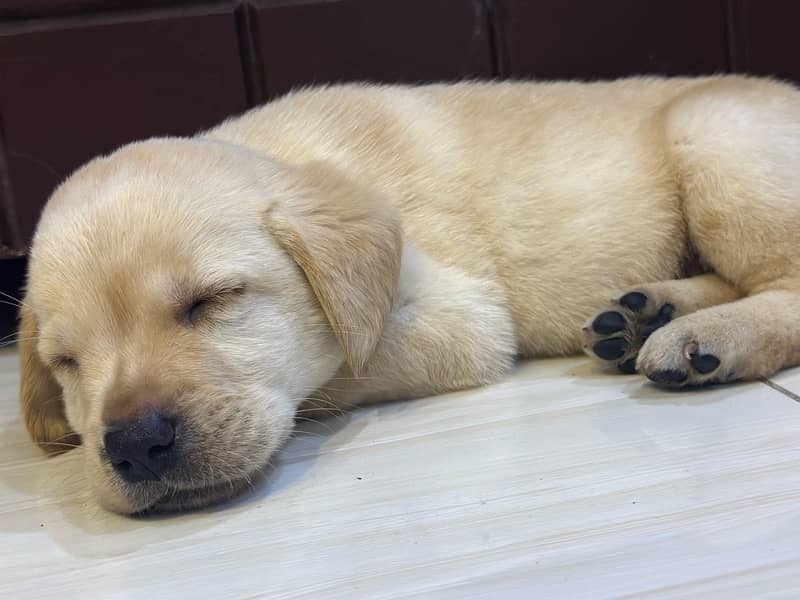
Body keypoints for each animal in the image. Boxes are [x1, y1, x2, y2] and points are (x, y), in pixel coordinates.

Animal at [18, 75, 800, 512]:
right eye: (67, 363)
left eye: (213, 300)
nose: (135, 448)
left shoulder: (461, 320)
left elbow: (336, 371)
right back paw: (645, 313)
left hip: (714, 136)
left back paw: (704, 338)